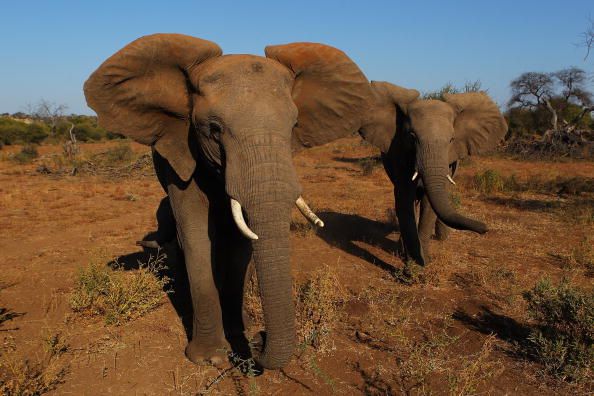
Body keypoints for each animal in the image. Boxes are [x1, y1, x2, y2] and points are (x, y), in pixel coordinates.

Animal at [83, 33, 370, 368]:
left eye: (293, 127)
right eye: (214, 130)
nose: (259, 340)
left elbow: (241, 240)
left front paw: (237, 331)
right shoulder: (181, 153)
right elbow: (196, 235)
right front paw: (210, 358)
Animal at [358, 81, 506, 266]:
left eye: (451, 139)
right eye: (412, 136)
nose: (485, 229)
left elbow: (429, 205)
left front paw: (422, 260)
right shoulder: (399, 153)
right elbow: (404, 200)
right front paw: (411, 259)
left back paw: (442, 238)